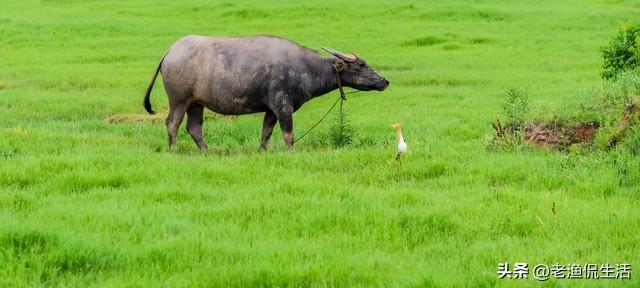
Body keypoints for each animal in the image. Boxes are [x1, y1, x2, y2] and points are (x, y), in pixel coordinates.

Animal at [142, 35, 388, 150]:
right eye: (361, 65)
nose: (385, 81)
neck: (305, 68)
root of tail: (172, 50)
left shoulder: (271, 110)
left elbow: (266, 133)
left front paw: (261, 151)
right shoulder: (283, 106)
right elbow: (288, 135)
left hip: (196, 102)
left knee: (194, 128)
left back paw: (206, 150)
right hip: (179, 100)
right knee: (172, 124)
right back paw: (174, 148)